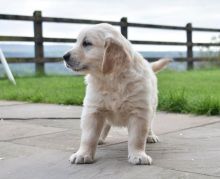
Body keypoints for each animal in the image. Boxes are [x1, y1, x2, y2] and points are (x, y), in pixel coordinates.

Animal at [62, 23, 171, 165]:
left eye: (86, 43)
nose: (64, 56)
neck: (110, 79)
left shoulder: (139, 111)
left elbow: (137, 137)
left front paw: (138, 155)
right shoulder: (93, 109)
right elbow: (88, 136)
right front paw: (82, 154)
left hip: (152, 106)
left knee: (150, 123)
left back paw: (150, 136)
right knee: (105, 125)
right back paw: (100, 138)